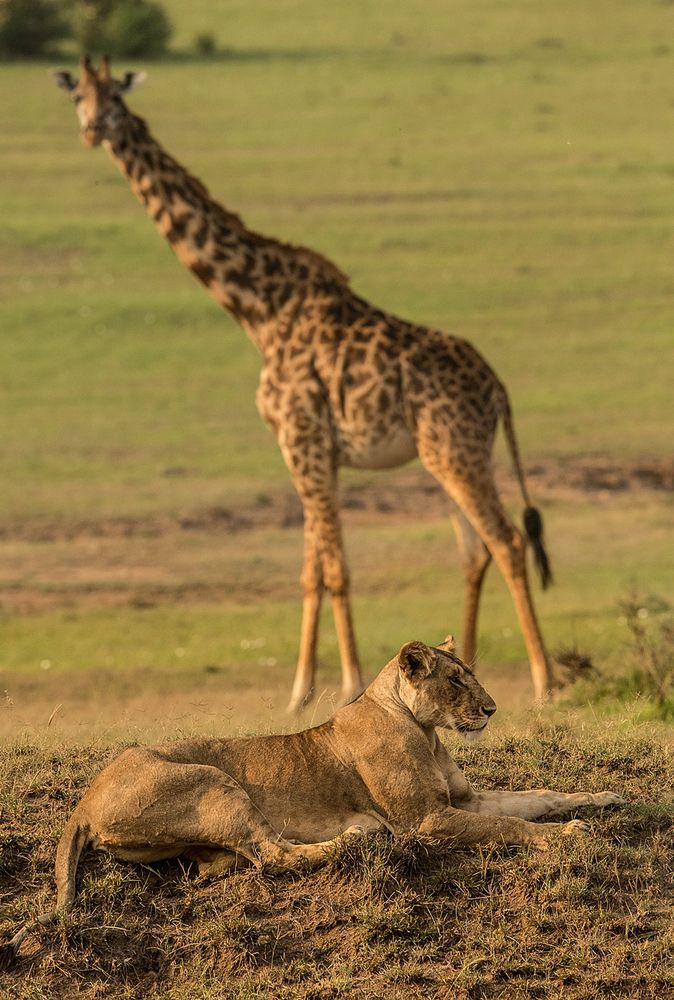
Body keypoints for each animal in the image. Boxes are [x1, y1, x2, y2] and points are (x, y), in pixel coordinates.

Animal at [53, 56, 552, 712]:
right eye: (78, 96)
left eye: (114, 97)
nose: (92, 128)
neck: (259, 309)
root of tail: (499, 389)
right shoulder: (309, 447)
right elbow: (311, 570)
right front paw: (298, 692)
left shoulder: (303, 438)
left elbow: (336, 568)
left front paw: (347, 682)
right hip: (447, 455)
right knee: (475, 552)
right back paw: (465, 667)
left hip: (456, 452)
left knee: (509, 542)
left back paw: (546, 684)